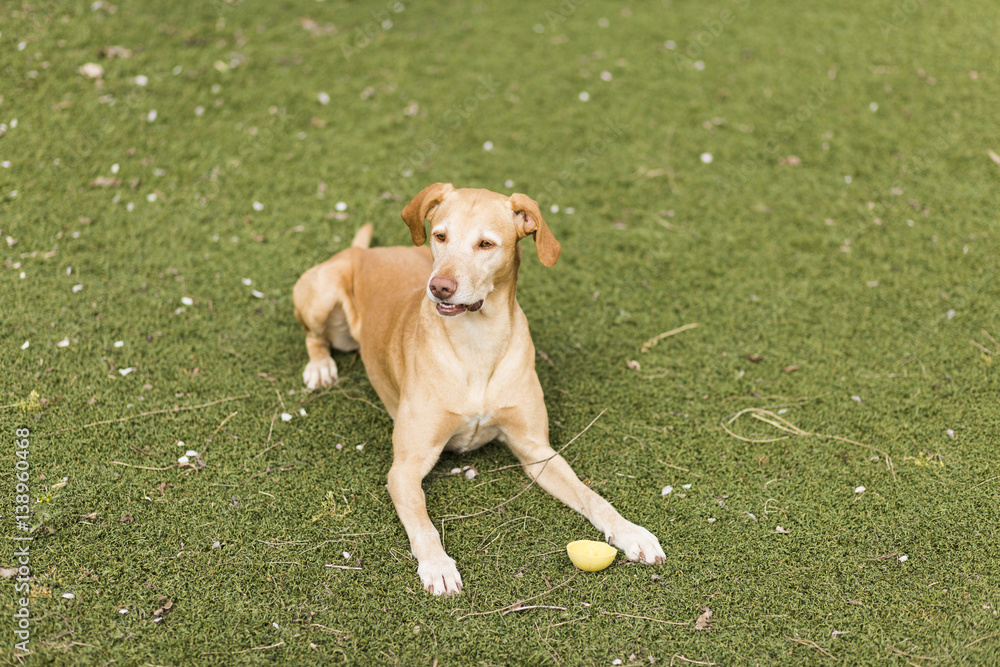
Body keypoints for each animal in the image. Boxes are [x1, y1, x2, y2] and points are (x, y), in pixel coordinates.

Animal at [292, 183, 664, 596]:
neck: (477, 342)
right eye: (441, 235)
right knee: (313, 337)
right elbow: (422, 524)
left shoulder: (538, 451)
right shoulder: (406, 467)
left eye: (486, 244)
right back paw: (320, 367)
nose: (440, 287)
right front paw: (437, 564)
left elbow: (591, 496)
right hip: (320, 295)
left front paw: (631, 532)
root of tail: (363, 251)